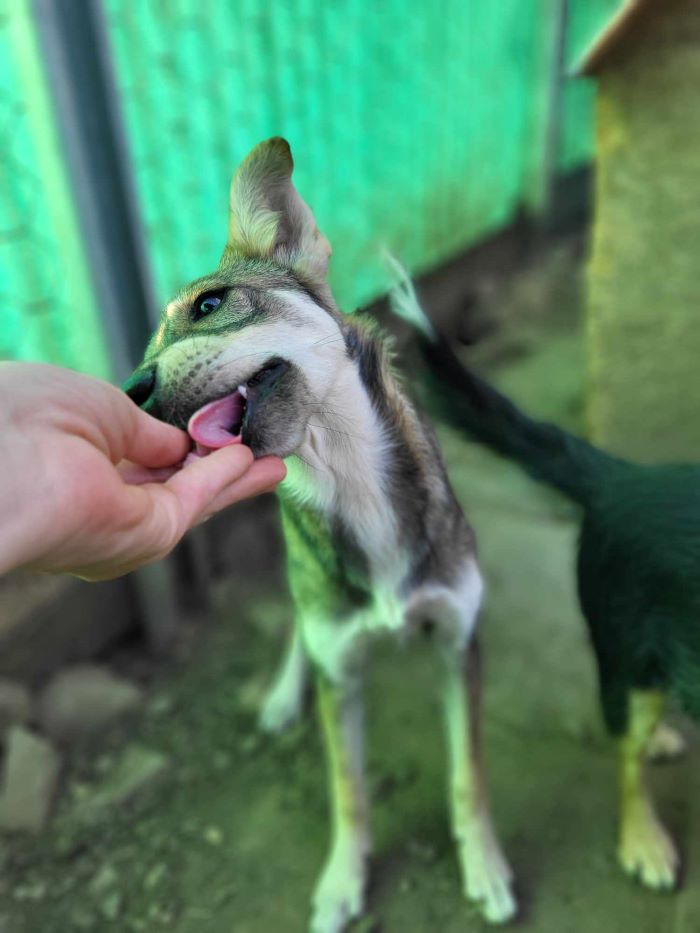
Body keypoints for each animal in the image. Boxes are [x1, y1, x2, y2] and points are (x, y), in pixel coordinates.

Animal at [124, 135, 516, 928]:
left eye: (210, 303)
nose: (131, 390)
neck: (347, 478)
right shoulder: (342, 669)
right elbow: (349, 789)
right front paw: (342, 879)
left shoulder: (459, 643)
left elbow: (469, 774)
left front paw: (485, 862)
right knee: (296, 626)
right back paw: (281, 693)